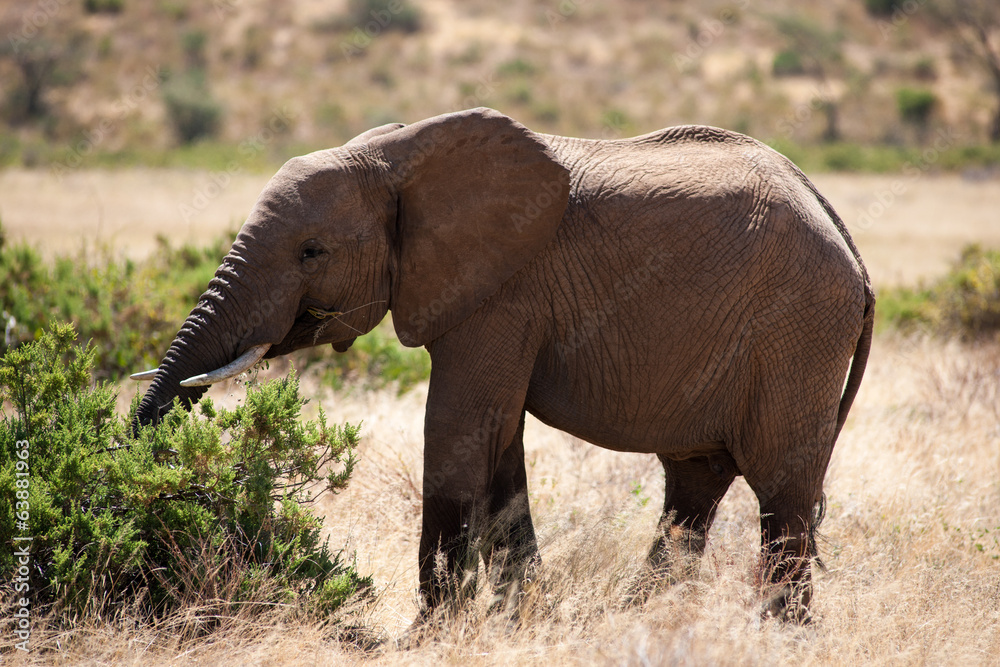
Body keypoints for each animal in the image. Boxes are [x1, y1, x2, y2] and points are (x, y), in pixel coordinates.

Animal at [133, 107, 874, 623]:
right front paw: (522, 617)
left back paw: (778, 635)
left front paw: (428, 635)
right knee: (694, 486)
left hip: (798, 333)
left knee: (781, 496)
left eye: (312, 251)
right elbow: (499, 445)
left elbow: (458, 432)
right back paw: (636, 618)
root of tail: (850, 246)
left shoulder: (502, 294)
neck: (398, 154)